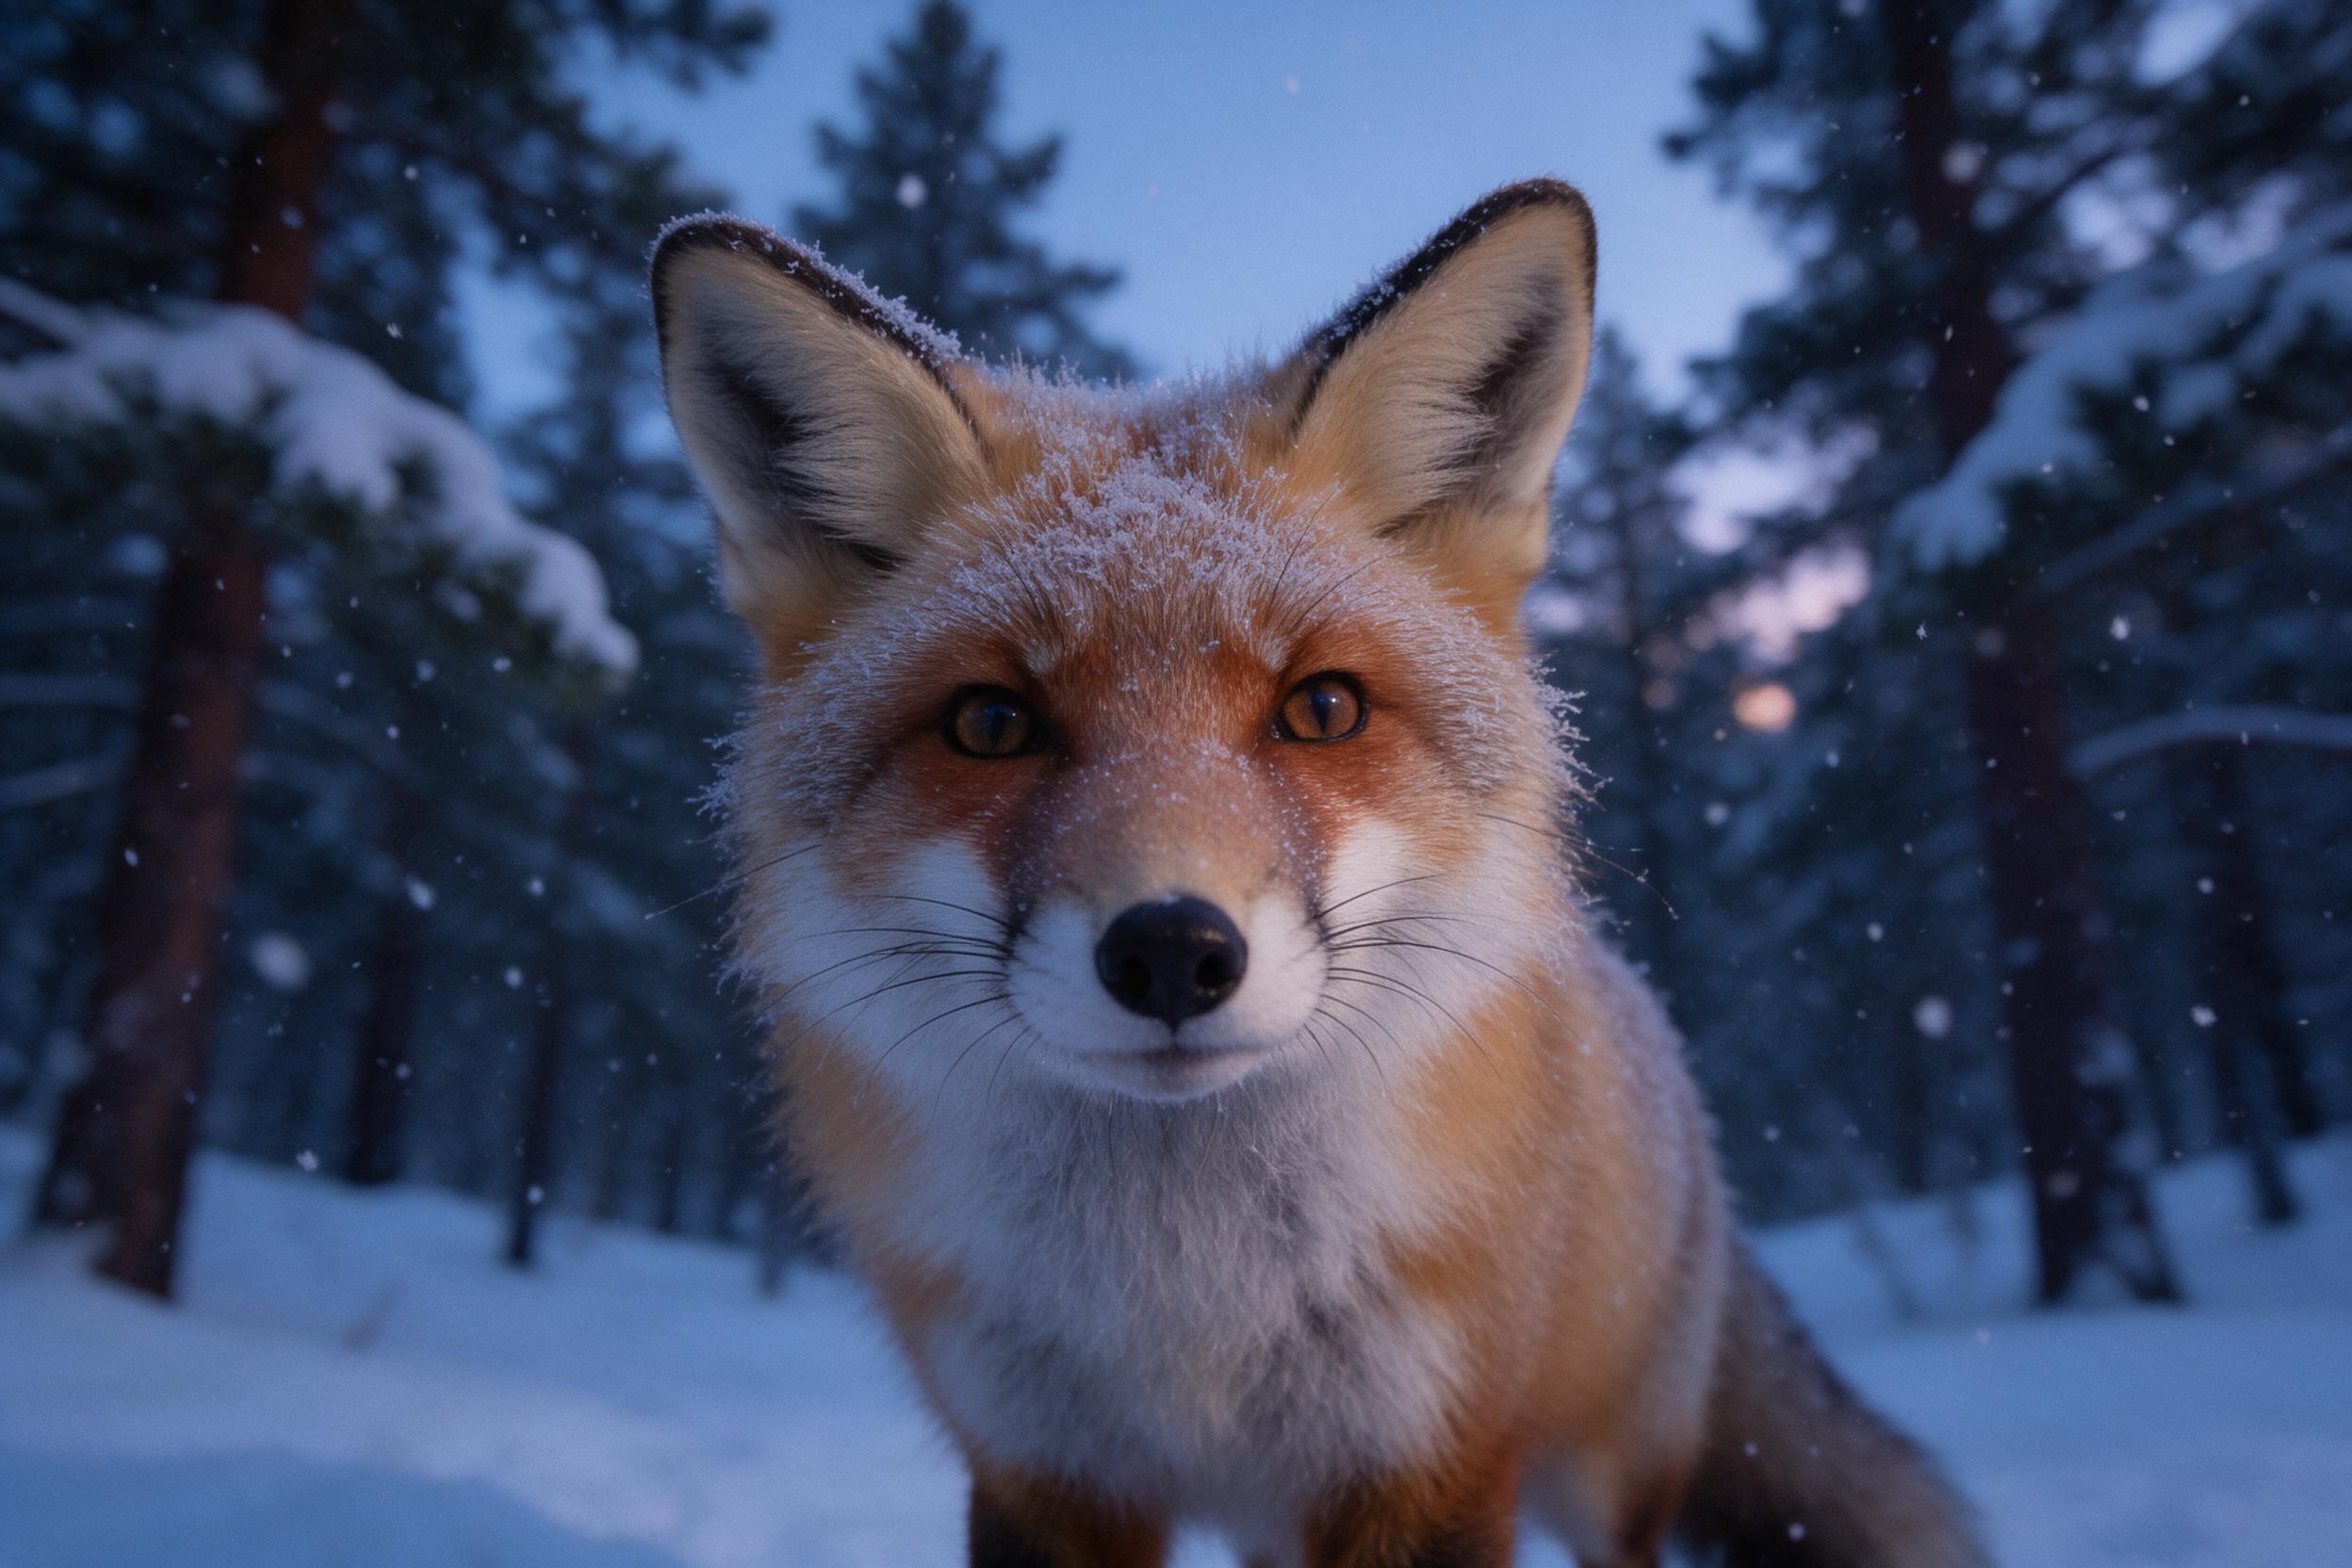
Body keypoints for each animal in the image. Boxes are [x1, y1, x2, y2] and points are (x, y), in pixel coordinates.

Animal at [648, 180, 1991, 1568]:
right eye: (990, 724)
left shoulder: (1429, 1458)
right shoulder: (1041, 1469)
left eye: (1324, 708)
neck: (1187, 1301)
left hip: (1608, 1473)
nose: (1172, 950)